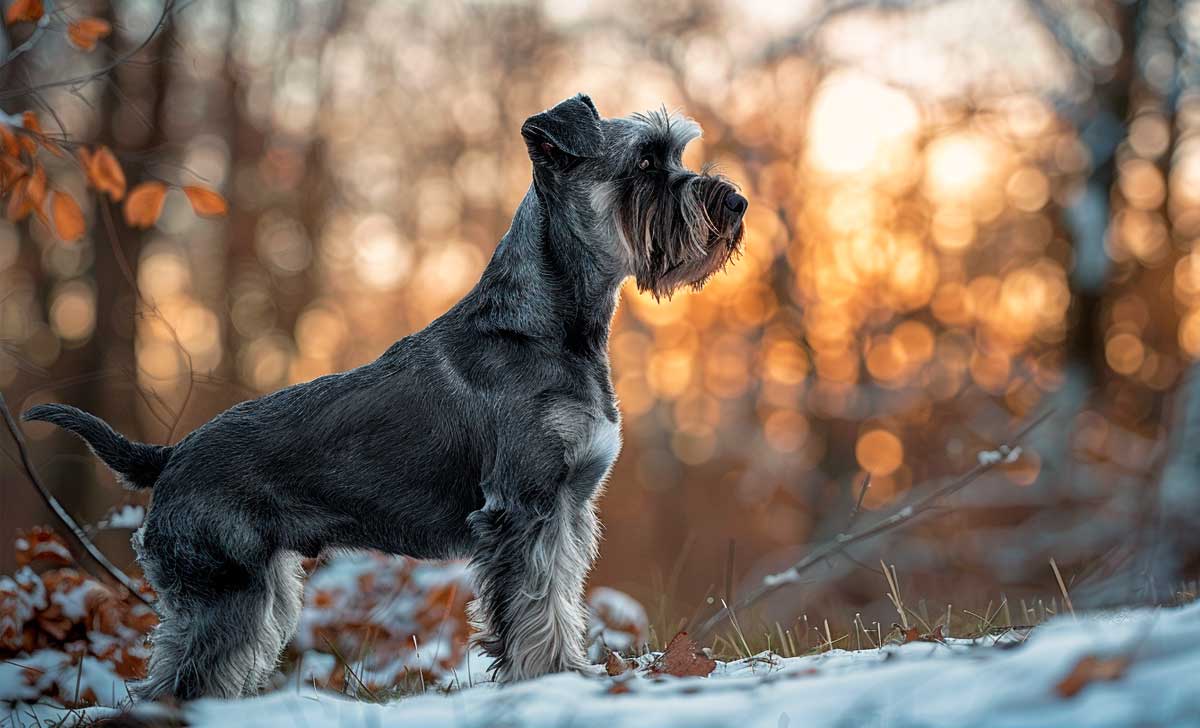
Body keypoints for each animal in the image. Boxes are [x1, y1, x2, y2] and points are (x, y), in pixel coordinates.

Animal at [23, 92, 744, 700]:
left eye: (676, 153)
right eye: (645, 160)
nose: (734, 203)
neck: (552, 327)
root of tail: (166, 457)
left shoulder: (566, 508)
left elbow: (560, 596)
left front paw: (568, 671)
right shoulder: (523, 507)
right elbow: (536, 605)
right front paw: (550, 679)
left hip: (264, 591)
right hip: (225, 590)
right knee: (177, 677)